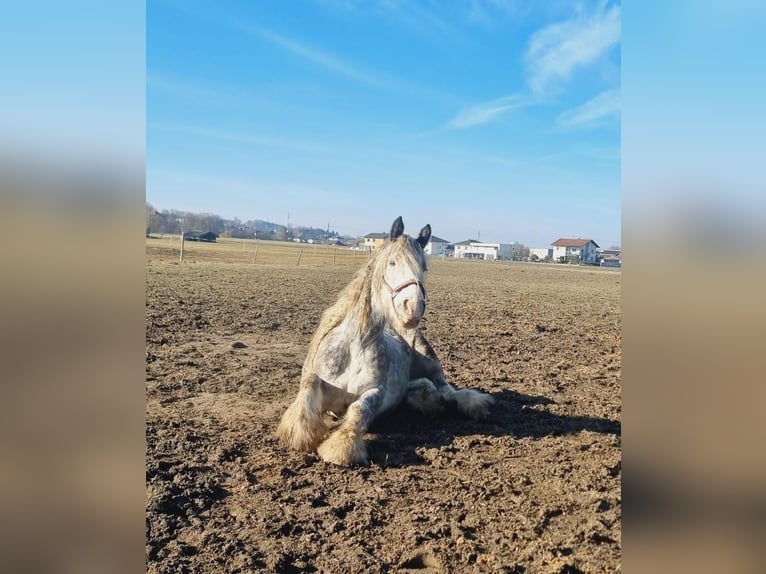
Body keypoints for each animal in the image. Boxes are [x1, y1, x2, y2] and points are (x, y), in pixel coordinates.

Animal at [277, 216, 494, 466]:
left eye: (424, 267)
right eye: (392, 263)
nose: (413, 308)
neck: (354, 349)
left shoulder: (376, 393)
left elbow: (360, 409)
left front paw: (342, 447)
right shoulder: (323, 387)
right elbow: (310, 383)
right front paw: (300, 432)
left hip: (430, 359)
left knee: (448, 391)